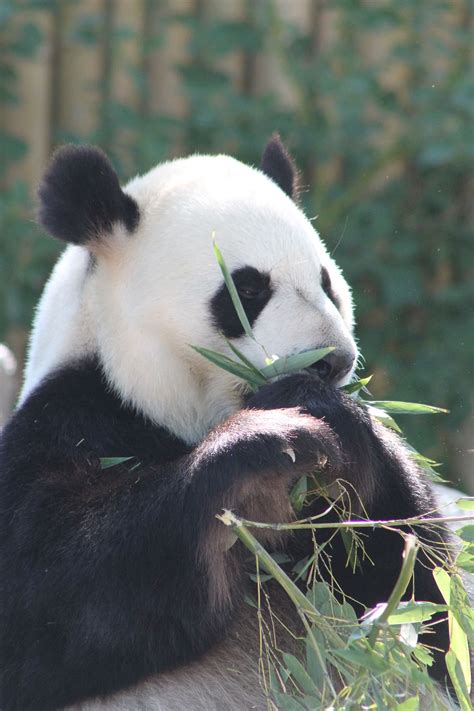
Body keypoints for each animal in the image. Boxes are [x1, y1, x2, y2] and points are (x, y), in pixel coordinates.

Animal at [0, 136, 450, 710]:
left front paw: (329, 425)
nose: (331, 362)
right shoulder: (72, 419)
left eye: (326, 282)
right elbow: (47, 593)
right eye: (248, 289)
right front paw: (267, 445)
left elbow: (419, 605)